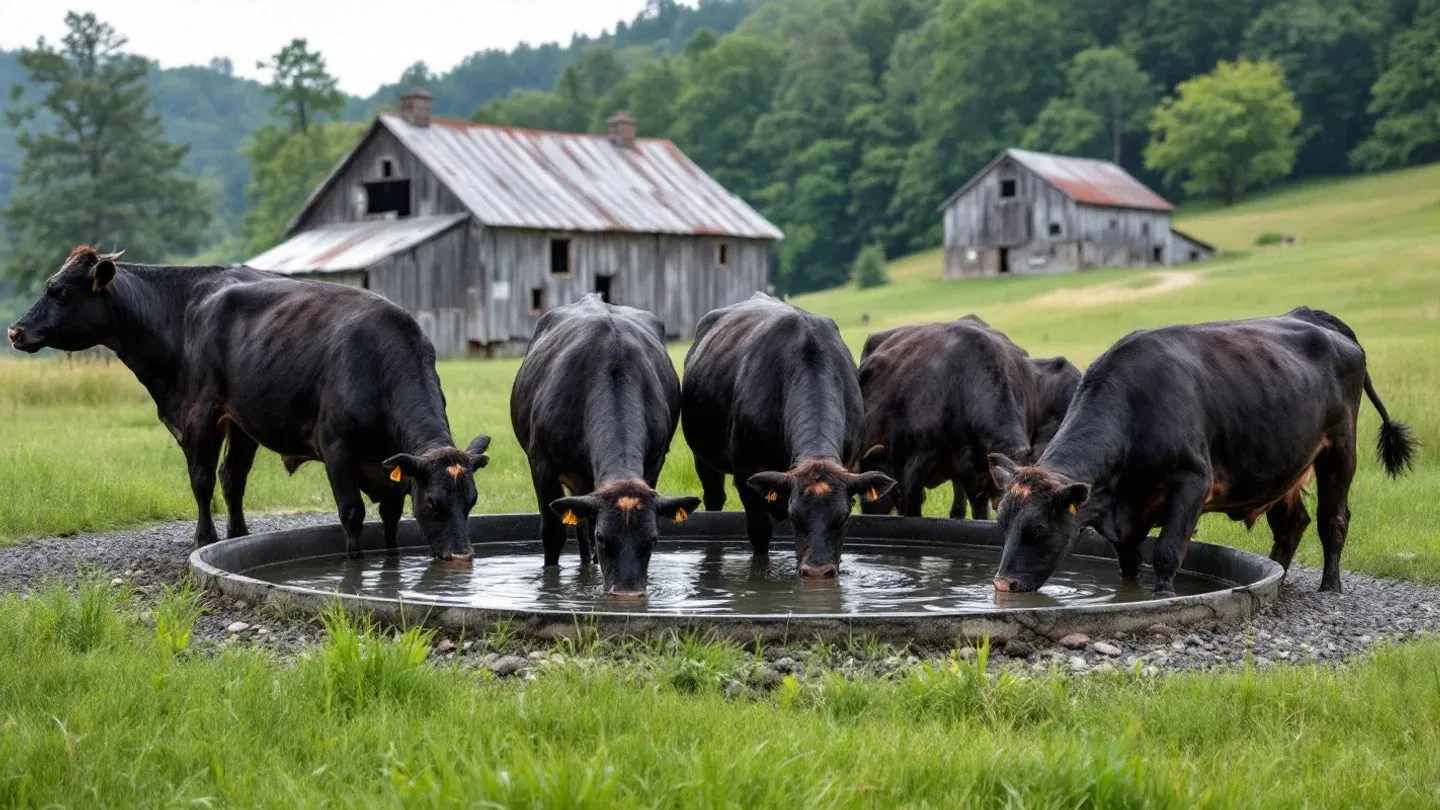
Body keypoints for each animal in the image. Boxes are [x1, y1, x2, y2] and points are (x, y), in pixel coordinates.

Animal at [7, 246, 491, 561]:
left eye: (471, 501)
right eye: (435, 503)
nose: (14, 330)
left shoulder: (390, 464)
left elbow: (390, 516)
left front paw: (391, 561)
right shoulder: (337, 450)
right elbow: (352, 514)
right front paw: (355, 565)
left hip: (242, 422)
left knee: (231, 478)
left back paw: (237, 534)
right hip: (204, 414)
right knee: (204, 480)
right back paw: (206, 537)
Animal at [510, 294, 699, 597]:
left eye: (652, 540)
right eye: (603, 538)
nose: (627, 593)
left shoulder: (655, 462)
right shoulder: (541, 463)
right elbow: (553, 532)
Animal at [681, 292, 896, 578]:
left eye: (842, 518)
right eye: (795, 518)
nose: (817, 571)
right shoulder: (746, 471)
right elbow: (759, 533)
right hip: (703, 458)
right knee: (714, 498)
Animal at [988, 307, 1417, 597]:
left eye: (1039, 528)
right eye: (1002, 523)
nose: (1003, 583)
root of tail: (1316, 319)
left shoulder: (1193, 481)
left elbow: (1167, 550)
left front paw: (1162, 596)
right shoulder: (1129, 514)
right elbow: (1128, 560)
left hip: (1340, 451)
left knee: (1334, 521)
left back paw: (1330, 586)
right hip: (1285, 466)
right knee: (1292, 525)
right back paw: (1277, 574)